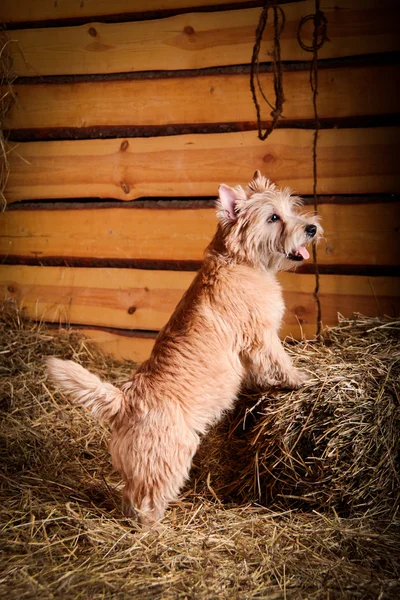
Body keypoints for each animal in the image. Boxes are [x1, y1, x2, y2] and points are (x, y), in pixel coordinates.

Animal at [47, 172, 322, 524]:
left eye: (291, 208)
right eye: (273, 217)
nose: (311, 228)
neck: (241, 262)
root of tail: (124, 403)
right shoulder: (261, 337)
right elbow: (280, 362)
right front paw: (301, 378)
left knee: (129, 495)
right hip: (168, 457)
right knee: (146, 500)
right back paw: (155, 528)